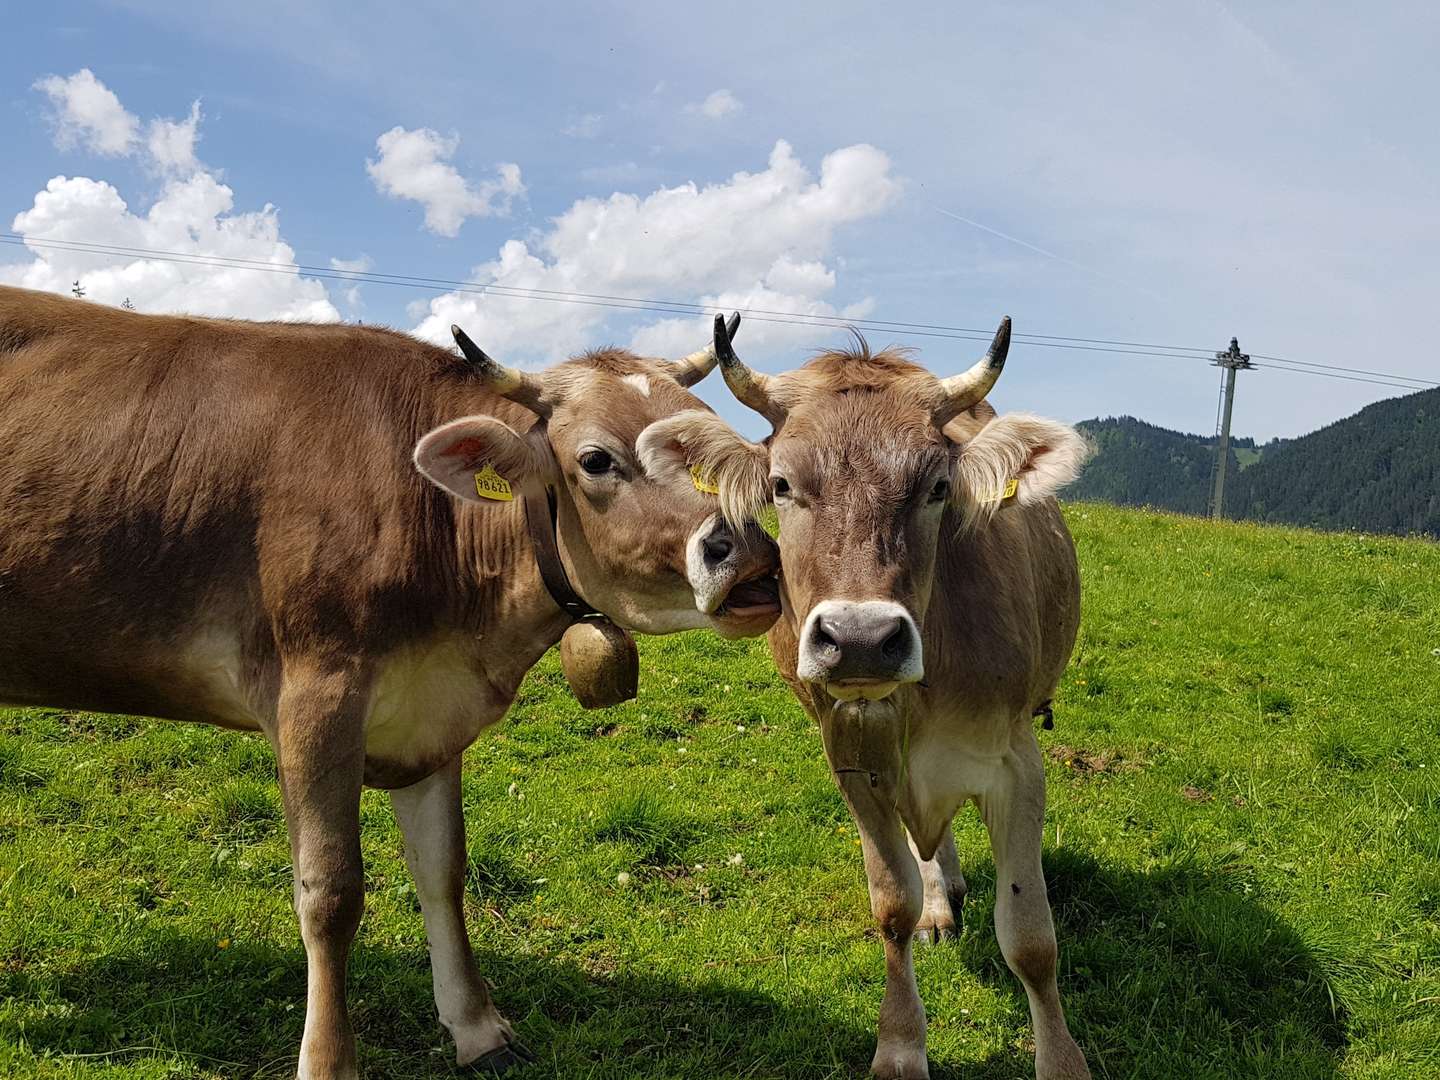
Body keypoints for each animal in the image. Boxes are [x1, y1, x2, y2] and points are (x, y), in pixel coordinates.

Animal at [0, 289, 777, 1080]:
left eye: (723, 448)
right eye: (596, 459)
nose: (748, 555)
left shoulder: (430, 712)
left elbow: (443, 869)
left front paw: (477, 1029)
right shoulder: (315, 695)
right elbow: (330, 892)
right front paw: (328, 1061)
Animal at [642, 316, 1088, 1077]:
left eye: (938, 486)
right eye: (781, 484)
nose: (858, 639)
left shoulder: (1016, 762)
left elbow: (1030, 938)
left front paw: (1061, 1061)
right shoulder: (851, 754)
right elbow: (891, 904)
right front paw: (901, 1045)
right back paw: (941, 899)